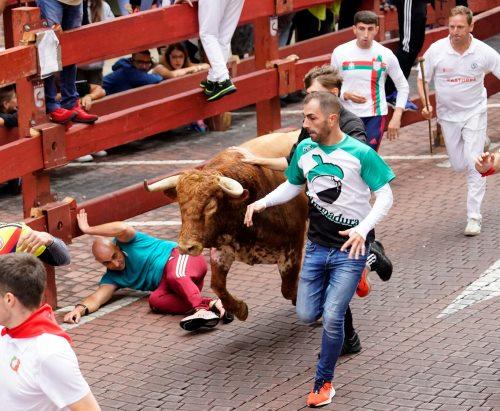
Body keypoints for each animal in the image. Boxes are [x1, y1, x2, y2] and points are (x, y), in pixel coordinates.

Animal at [145, 132, 306, 322]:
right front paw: (240, 309)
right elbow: (217, 285)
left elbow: (288, 288)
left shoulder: (293, 247)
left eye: (210, 205)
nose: (186, 247)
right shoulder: (222, 250)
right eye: (180, 204)